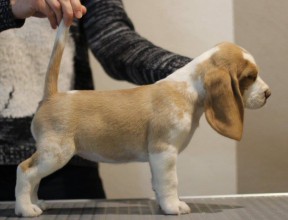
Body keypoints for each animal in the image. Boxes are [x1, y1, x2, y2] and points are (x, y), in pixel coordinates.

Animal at [14, 21, 272, 217]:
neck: (188, 89)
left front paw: (162, 205)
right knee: (25, 170)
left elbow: (158, 184)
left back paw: (36, 203)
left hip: (50, 155)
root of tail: (52, 96)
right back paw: (26, 209)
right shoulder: (164, 152)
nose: (268, 93)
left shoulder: (156, 158)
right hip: (56, 153)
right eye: (250, 76)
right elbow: (170, 183)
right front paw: (173, 207)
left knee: (34, 177)